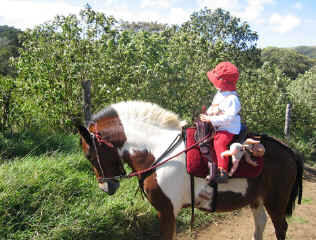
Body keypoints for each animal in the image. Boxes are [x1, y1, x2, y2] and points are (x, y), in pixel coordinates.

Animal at [76, 100, 304, 240]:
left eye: (89, 155)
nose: (106, 187)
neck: (157, 150)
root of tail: (289, 150)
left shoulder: (167, 211)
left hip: (275, 201)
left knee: (280, 227)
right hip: (257, 199)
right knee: (260, 224)